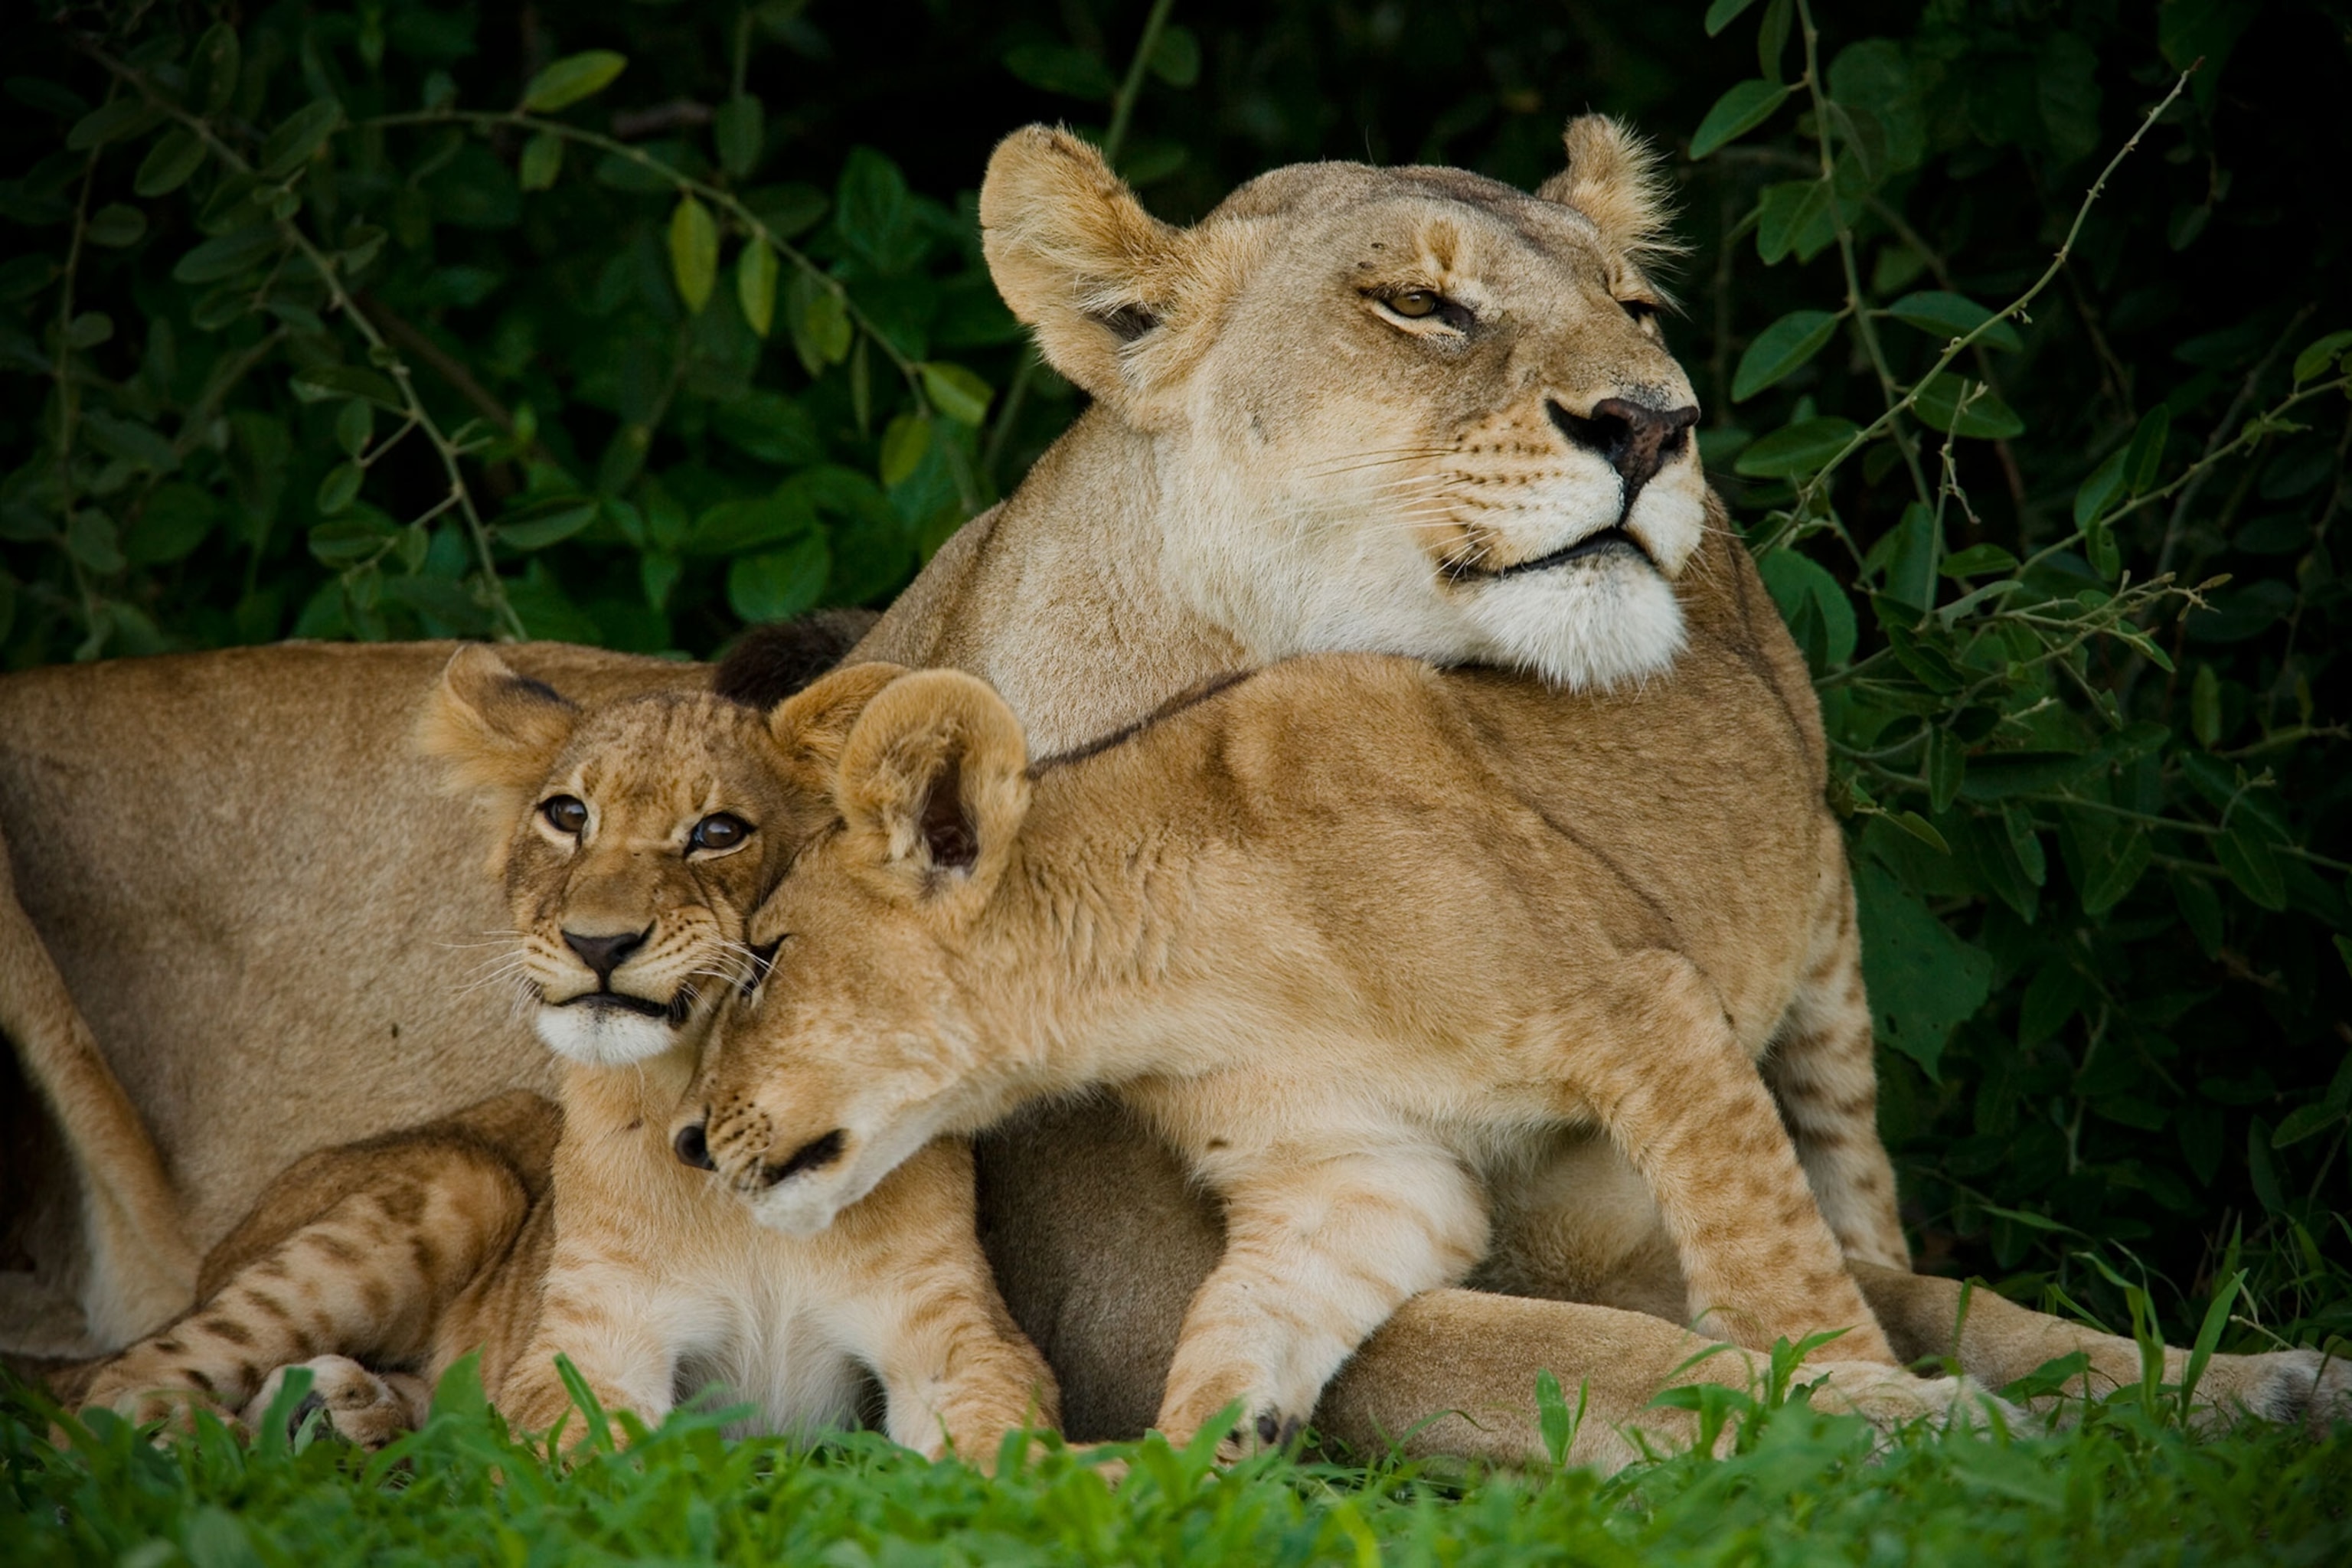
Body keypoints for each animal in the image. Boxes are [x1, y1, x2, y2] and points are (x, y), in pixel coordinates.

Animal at [76, 650, 1054, 1460]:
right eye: (567, 814)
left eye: (718, 831)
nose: (599, 942)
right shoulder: (593, 1343)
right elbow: (593, 1462)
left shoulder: (955, 1333)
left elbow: (1005, 1441)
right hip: (461, 1181)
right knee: (111, 1383)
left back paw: (347, 1411)